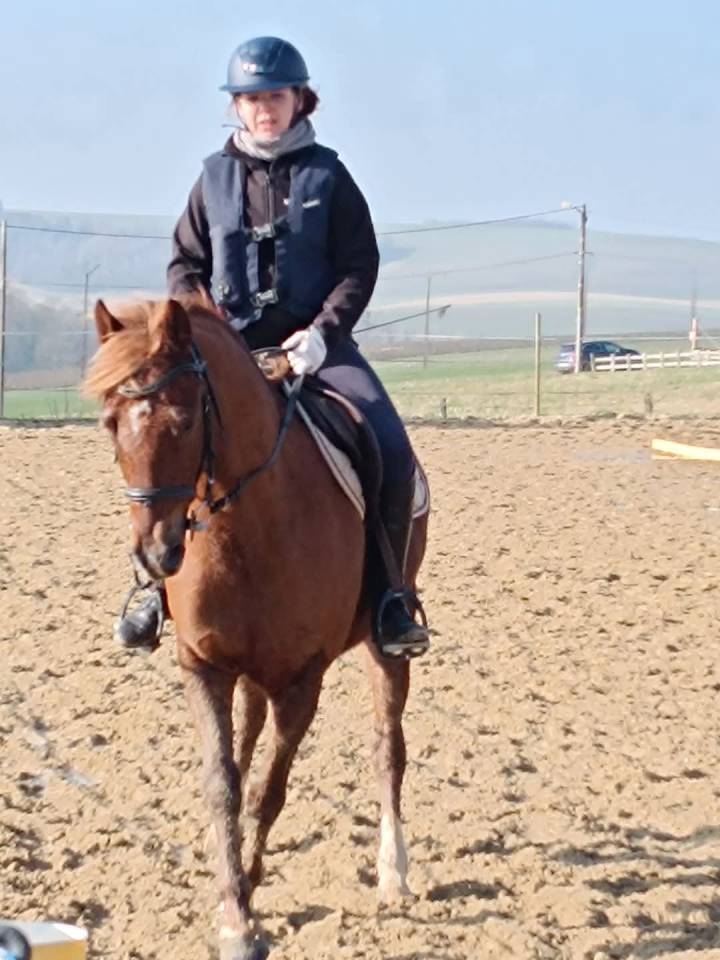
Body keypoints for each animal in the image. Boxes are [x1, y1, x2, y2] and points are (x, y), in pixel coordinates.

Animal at [85, 297, 429, 960]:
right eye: (111, 424)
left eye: (183, 421)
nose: (155, 555)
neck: (250, 524)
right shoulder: (204, 667)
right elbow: (223, 781)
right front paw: (233, 904)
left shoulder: (302, 682)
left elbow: (273, 786)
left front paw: (249, 892)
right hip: (247, 672)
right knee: (246, 737)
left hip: (386, 649)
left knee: (387, 747)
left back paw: (393, 869)